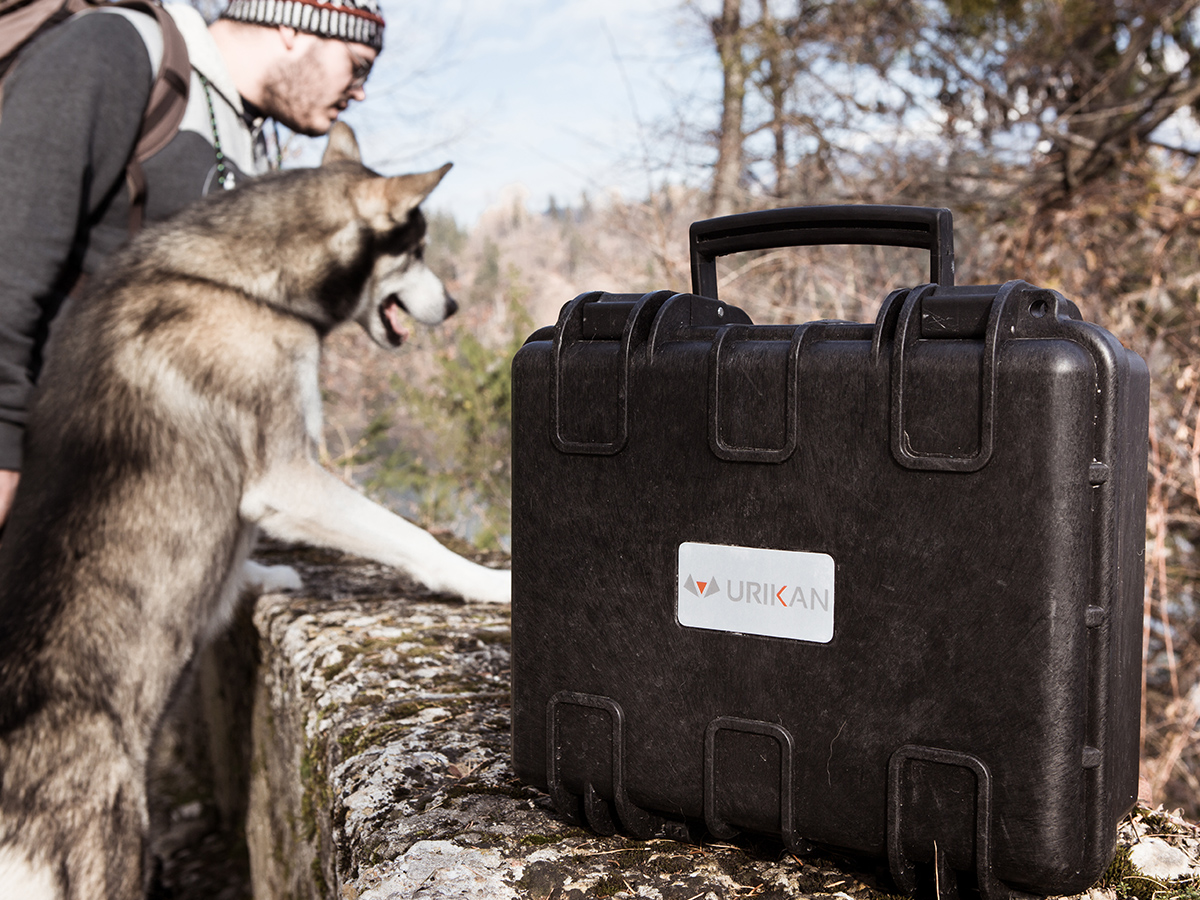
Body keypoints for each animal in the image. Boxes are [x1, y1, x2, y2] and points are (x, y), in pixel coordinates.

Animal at [0, 122, 510, 899]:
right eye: (418, 248)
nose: (452, 306)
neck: (239, 282)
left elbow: (244, 550)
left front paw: (261, 579)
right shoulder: (284, 474)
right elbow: (412, 537)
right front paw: (486, 580)